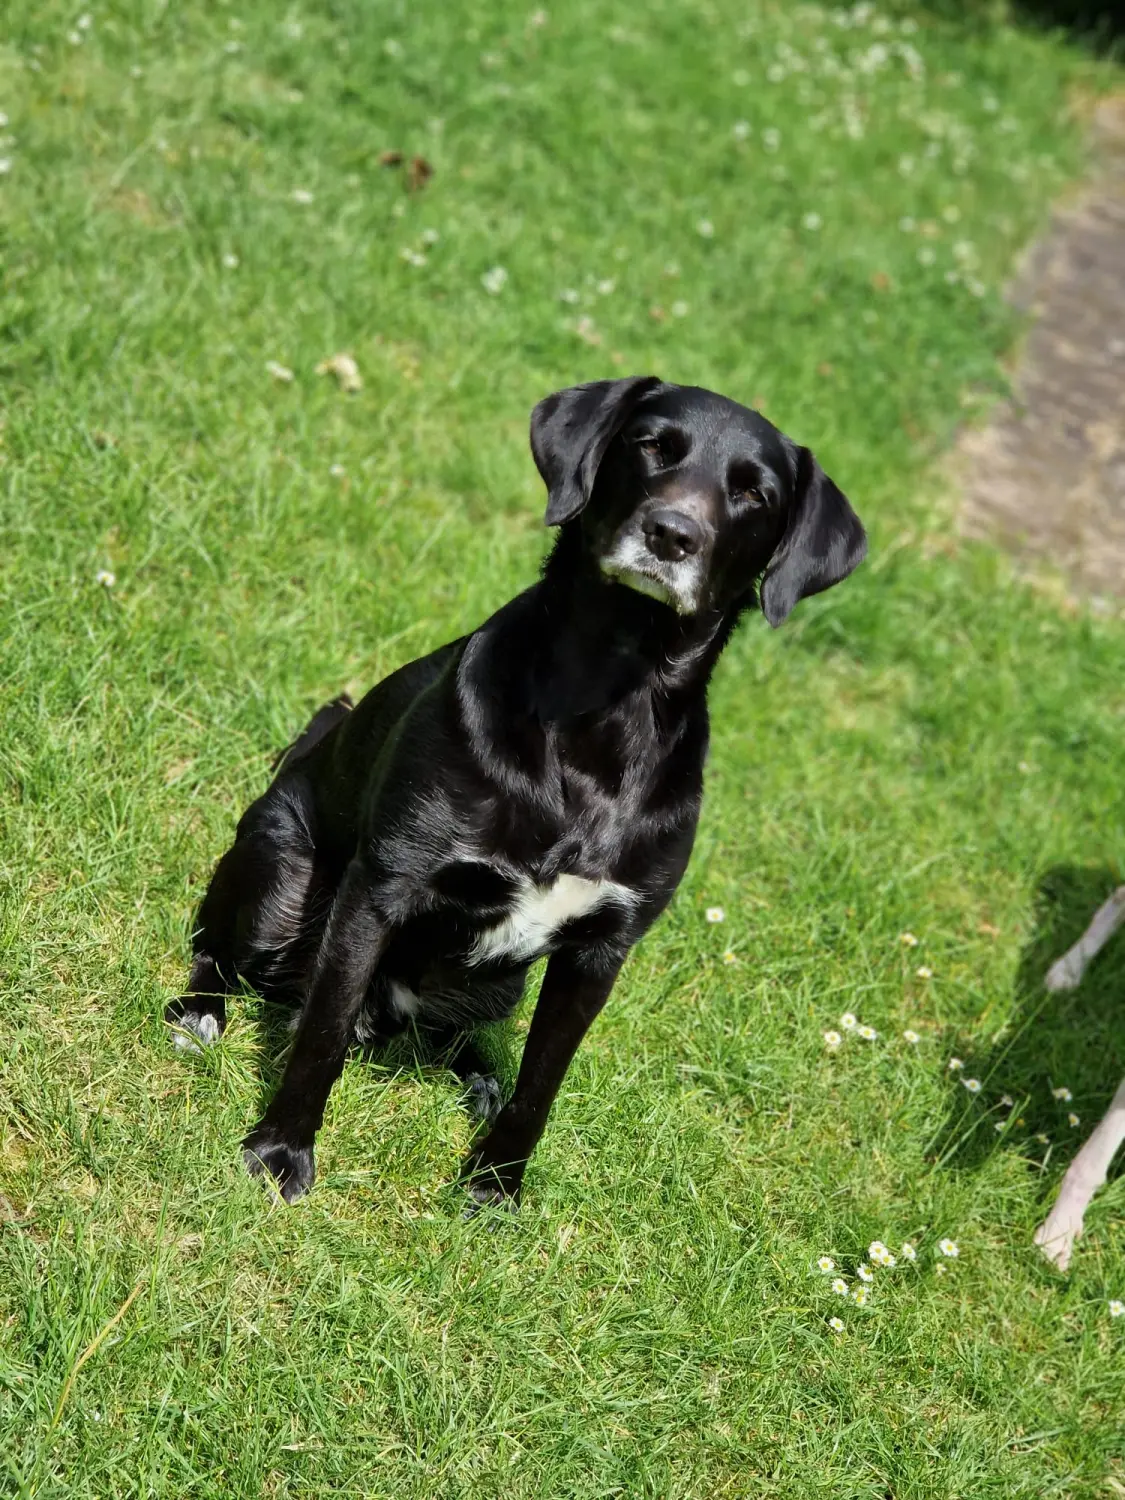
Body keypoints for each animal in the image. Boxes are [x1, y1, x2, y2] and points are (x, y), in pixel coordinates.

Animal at [169, 378, 870, 1206]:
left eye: (754, 493)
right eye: (651, 445)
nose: (670, 534)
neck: (611, 695)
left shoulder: (600, 952)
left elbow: (543, 1082)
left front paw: (496, 1184)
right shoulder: (381, 887)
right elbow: (321, 1033)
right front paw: (281, 1151)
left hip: (499, 984)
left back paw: (476, 1074)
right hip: (281, 872)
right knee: (225, 949)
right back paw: (198, 1014)